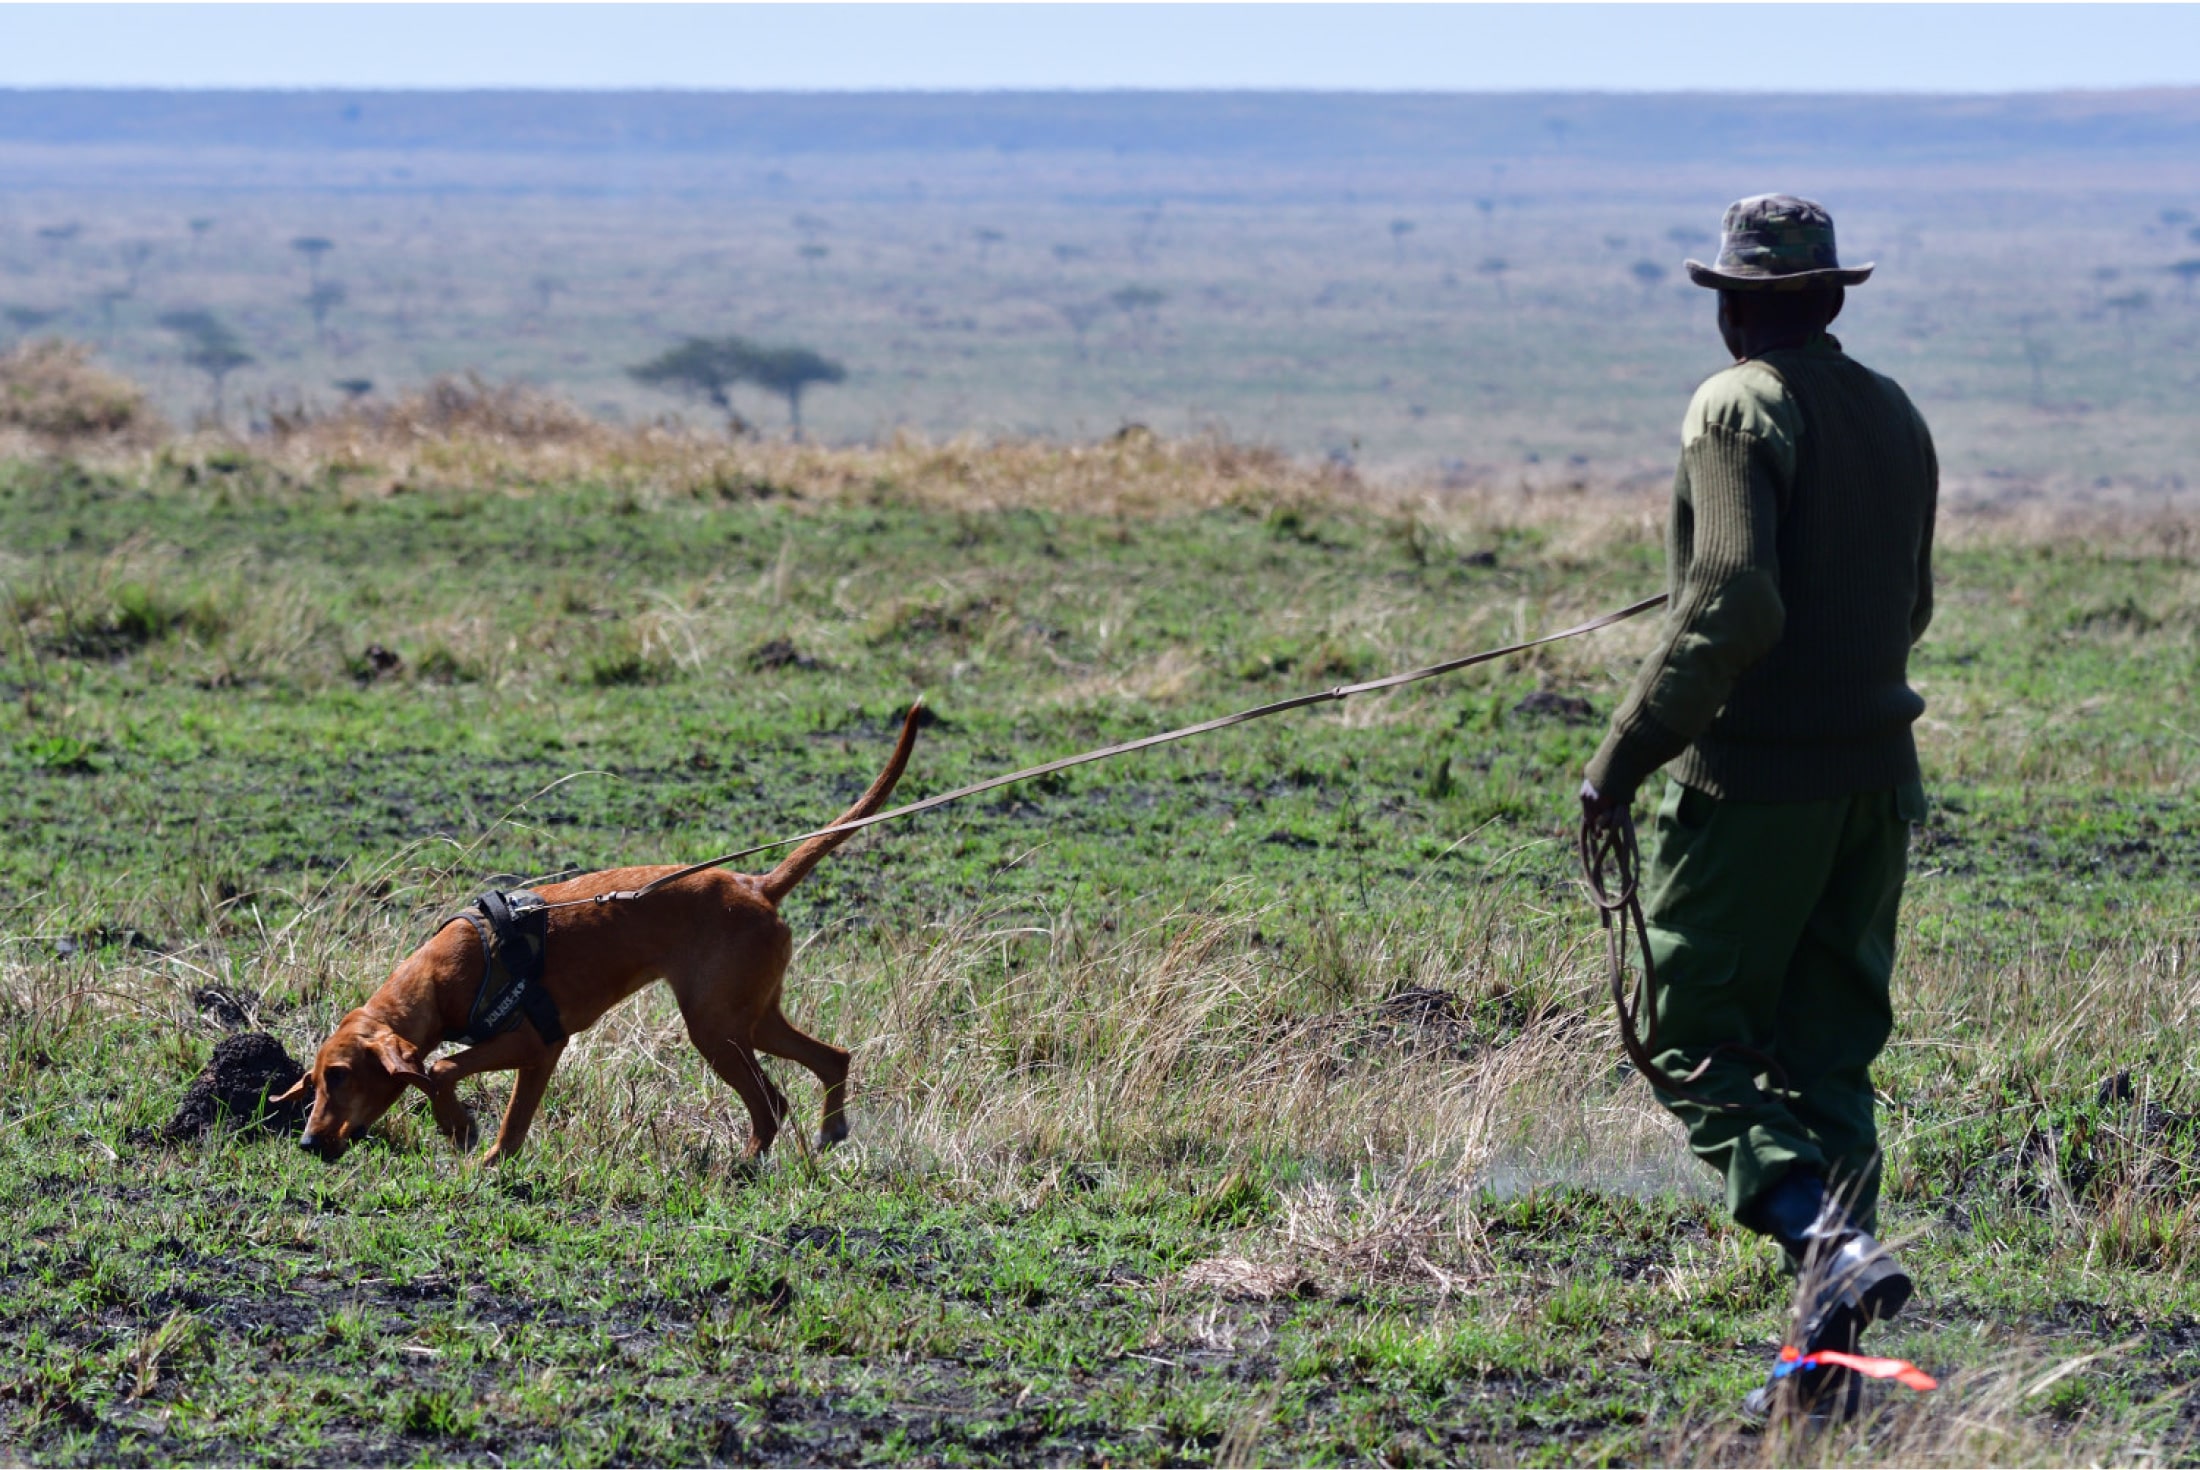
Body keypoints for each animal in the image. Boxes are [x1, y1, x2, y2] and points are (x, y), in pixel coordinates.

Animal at [281, 704, 919, 1161]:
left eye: (339, 1077)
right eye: (314, 1080)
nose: (309, 1143)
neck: (443, 977)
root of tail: (757, 884)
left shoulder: (536, 1042)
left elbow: (438, 1071)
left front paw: (460, 1129)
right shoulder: (539, 1057)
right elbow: (505, 1122)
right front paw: (484, 1155)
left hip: (716, 1029)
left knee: (772, 1103)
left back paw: (743, 1167)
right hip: (748, 1017)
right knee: (833, 1059)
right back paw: (828, 1130)